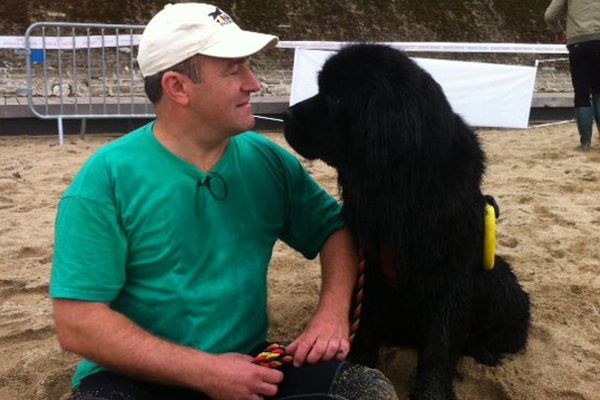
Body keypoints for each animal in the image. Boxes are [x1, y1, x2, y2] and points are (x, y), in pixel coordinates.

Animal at [284, 44, 532, 400]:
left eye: (334, 97)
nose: (285, 116)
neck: (399, 186)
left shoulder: (449, 272)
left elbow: (440, 343)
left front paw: (432, 391)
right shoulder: (369, 262)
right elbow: (366, 321)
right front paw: (358, 366)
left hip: (500, 279)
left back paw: (485, 352)